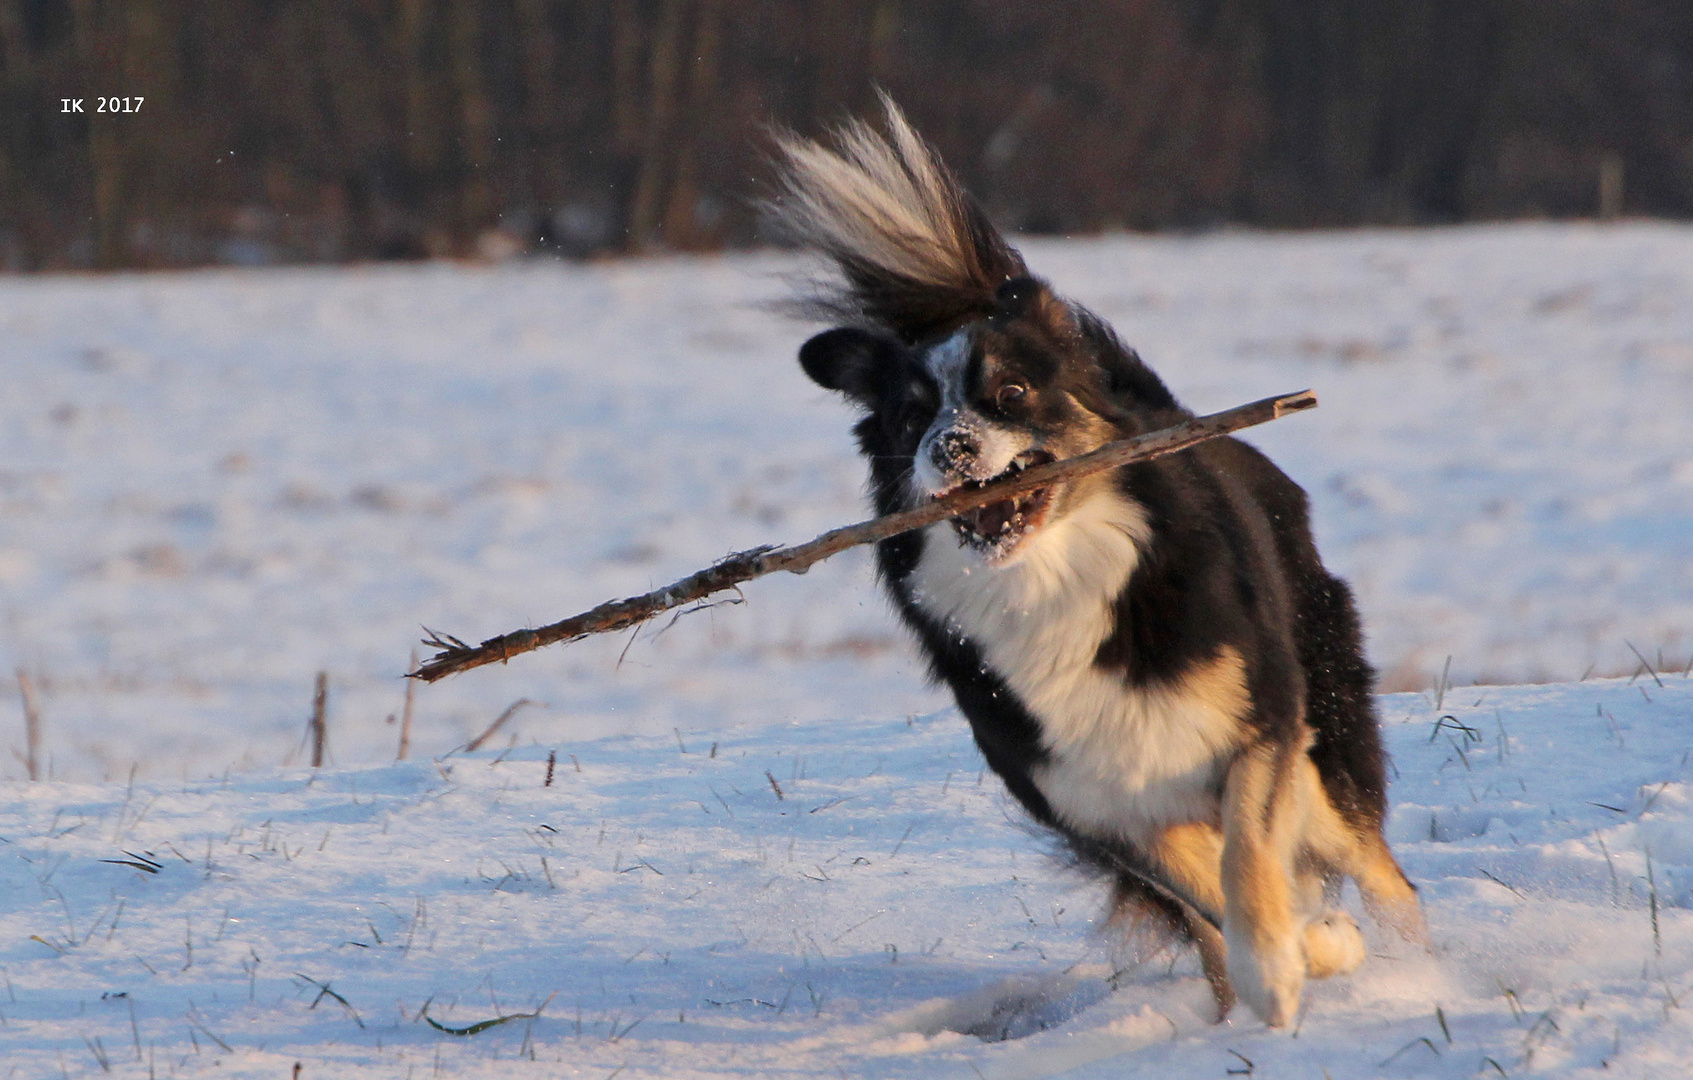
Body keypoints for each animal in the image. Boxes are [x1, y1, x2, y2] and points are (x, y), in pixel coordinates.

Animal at [775, 97, 1422, 1029]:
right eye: (908, 418)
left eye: (1010, 393)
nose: (950, 447)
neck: (1050, 584)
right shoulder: (1088, 801)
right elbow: (1205, 887)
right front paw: (1307, 948)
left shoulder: (1260, 724)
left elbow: (1247, 858)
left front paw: (1282, 966)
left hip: (1323, 724)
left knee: (1382, 872)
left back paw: (1421, 970)